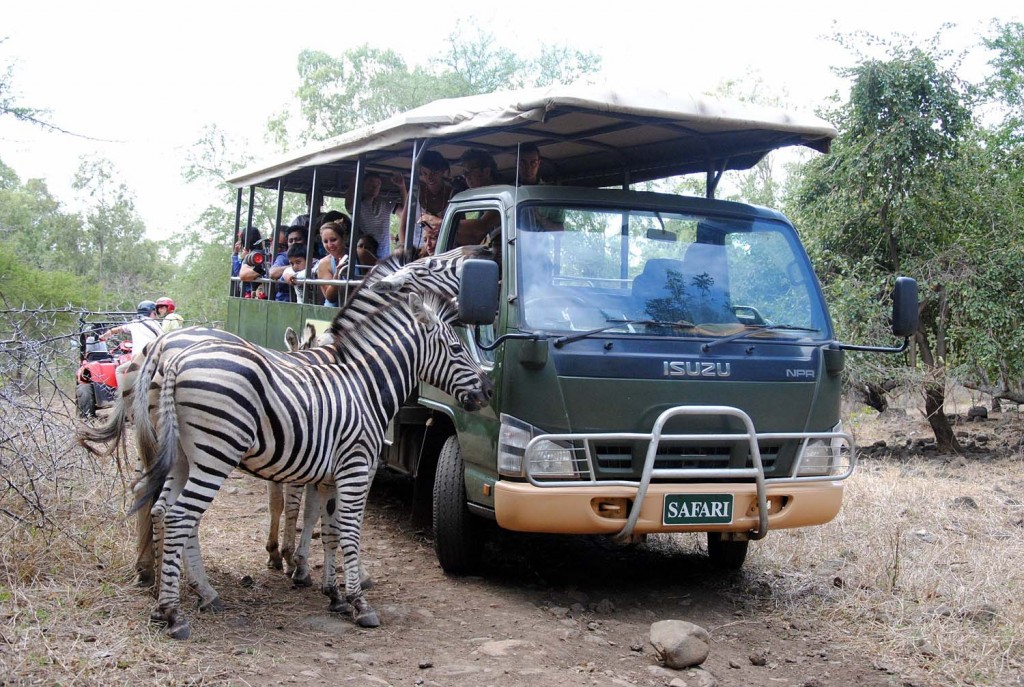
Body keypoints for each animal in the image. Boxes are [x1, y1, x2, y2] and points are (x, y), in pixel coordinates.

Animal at [142, 286, 493, 638]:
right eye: (456, 348)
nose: (488, 391)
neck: (365, 387)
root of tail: (175, 360)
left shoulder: (328, 478)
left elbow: (329, 531)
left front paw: (333, 595)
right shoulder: (356, 467)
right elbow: (349, 532)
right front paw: (359, 603)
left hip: (182, 458)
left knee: (162, 511)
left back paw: (171, 599)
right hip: (215, 455)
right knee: (180, 518)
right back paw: (175, 613)